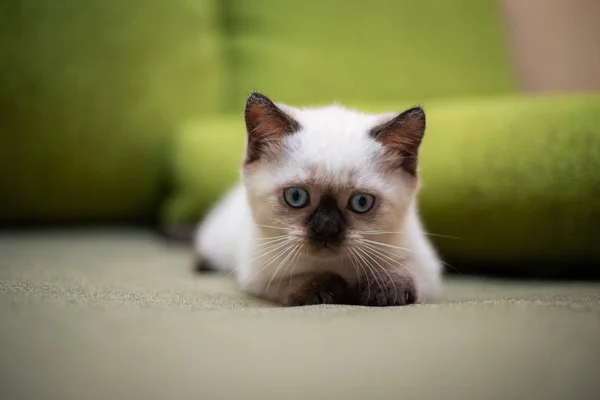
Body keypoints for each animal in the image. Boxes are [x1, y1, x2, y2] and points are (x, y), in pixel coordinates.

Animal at [195, 91, 442, 306]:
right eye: (296, 197)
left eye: (361, 202)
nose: (326, 229)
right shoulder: (259, 275)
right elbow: (299, 280)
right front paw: (329, 289)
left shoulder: (426, 268)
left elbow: (404, 272)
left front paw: (382, 289)